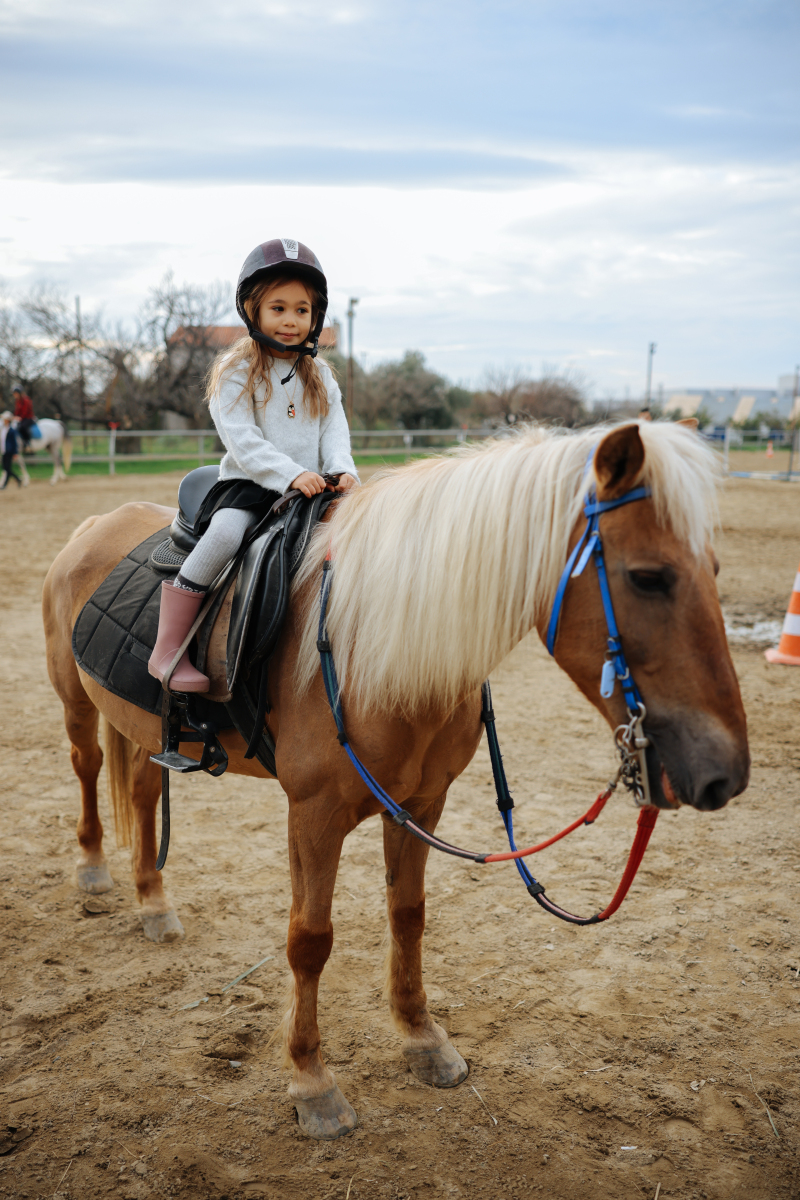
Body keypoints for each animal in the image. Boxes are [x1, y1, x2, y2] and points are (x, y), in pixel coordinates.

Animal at [42, 427, 753, 1137]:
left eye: (717, 572)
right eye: (648, 577)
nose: (725, 773)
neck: (372, 647)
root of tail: (96, 524)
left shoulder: (421, 804)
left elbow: (408, 915)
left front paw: (422, 1039)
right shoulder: (313, 814)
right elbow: (310, 940)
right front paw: (312, 1082)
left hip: (139, 727)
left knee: (141, 794)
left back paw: (154, 905)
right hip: (77, 706)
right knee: (87, 768)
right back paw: (93, 873)